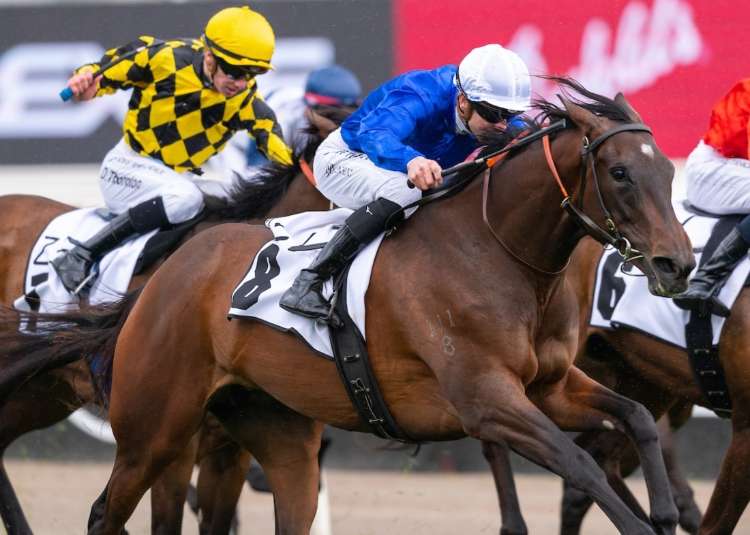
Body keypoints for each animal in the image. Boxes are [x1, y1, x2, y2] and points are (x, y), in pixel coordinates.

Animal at [27, 76, 697, 535]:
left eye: (667, 171)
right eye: (618, 173)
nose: (677, 264)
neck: (497, 250)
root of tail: (167, 273)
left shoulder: (550, 387)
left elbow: (637, 415)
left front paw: (666, 511)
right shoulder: (486, 401)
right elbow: (577, 462)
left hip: (275, 432)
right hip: (155, 429)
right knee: (105, 512)